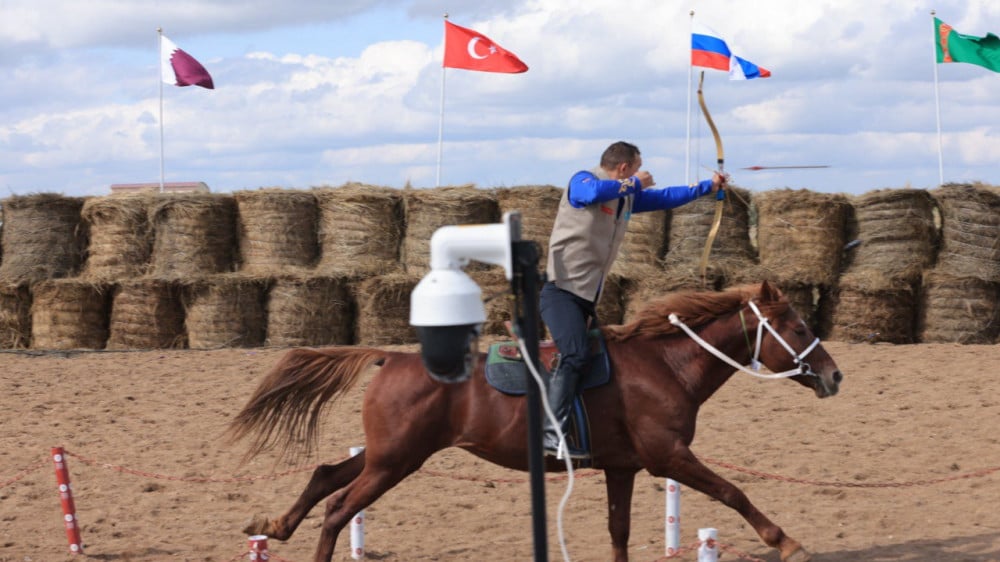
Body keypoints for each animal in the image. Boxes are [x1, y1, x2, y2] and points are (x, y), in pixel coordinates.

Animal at [229, 278, 844, 556]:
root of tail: (393, 356)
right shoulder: (670, 457)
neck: (664, 364)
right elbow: (733, 492)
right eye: (795, 326)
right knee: (338, 509)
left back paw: (274, 525)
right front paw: (785, 541)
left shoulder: (623, 467)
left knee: (324, 476)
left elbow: (618, 531)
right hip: (394, 461)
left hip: (387, 456)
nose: (835, 375)